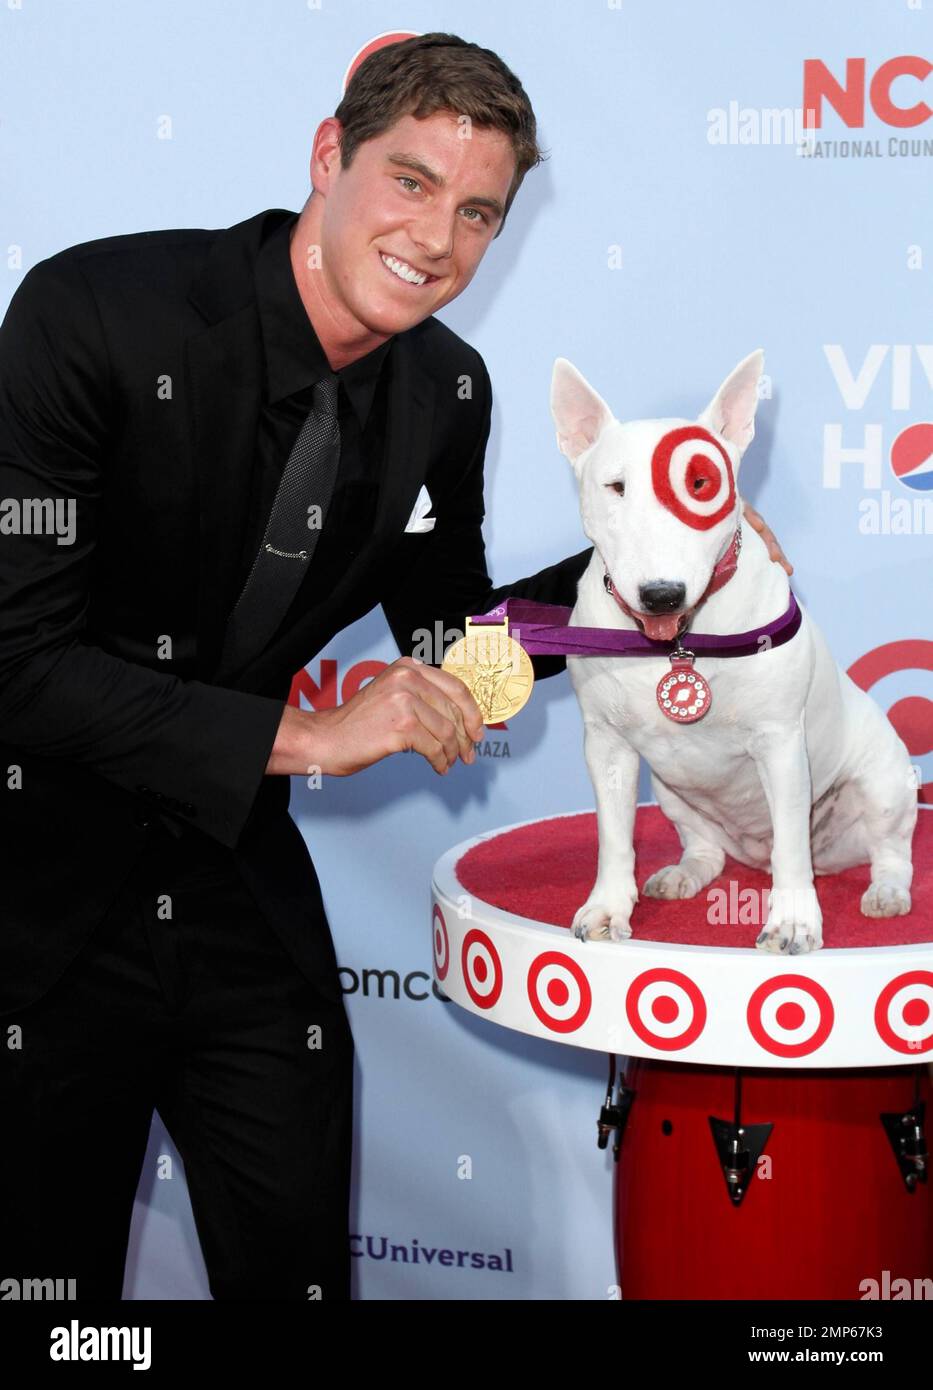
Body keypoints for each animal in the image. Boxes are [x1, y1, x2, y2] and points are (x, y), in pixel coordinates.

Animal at [556, 350, 917, 956]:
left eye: (701, 484)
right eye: (616, 487)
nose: (662, 594)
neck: (679, 642)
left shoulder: (780, 743)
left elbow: (791, 843)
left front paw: (792, 924)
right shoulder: (605, 743)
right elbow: (614, 835)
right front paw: (607, 908)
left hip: (884, 783)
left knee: (889, 851)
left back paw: (886, 891)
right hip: (674, 794)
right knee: (705, 847)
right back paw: (683, 874)